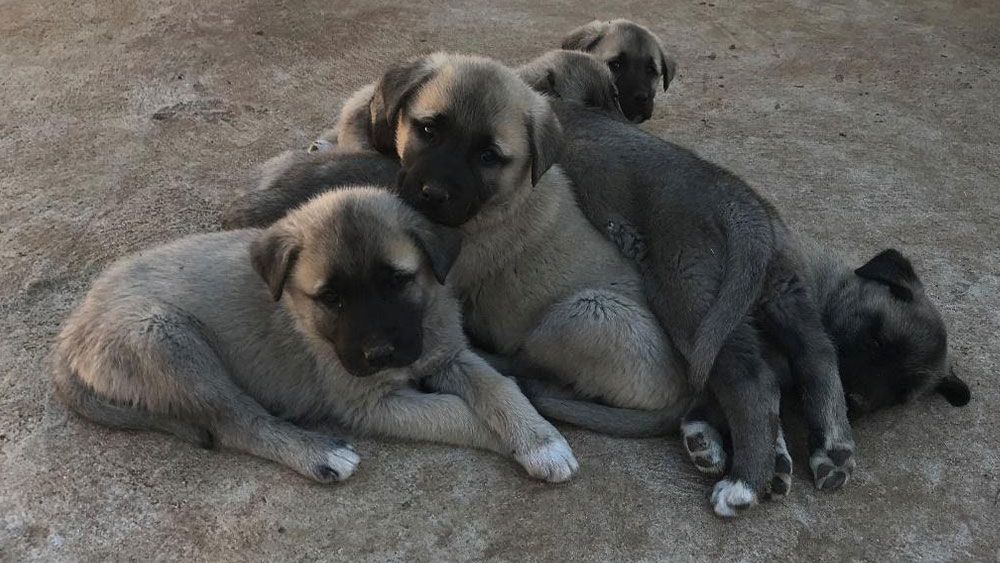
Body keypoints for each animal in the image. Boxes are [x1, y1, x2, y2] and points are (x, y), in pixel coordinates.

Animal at [52, 186, 580, 484]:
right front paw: (526, 444)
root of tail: (71, 331)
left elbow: (497, 386)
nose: (380, 352)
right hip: (171, 341)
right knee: (238, 423)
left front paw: (538, 438)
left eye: (397, 281)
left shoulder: (446, 353)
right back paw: (319, 454)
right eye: (330, 298)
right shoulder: (369, 405)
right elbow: (455, 413)